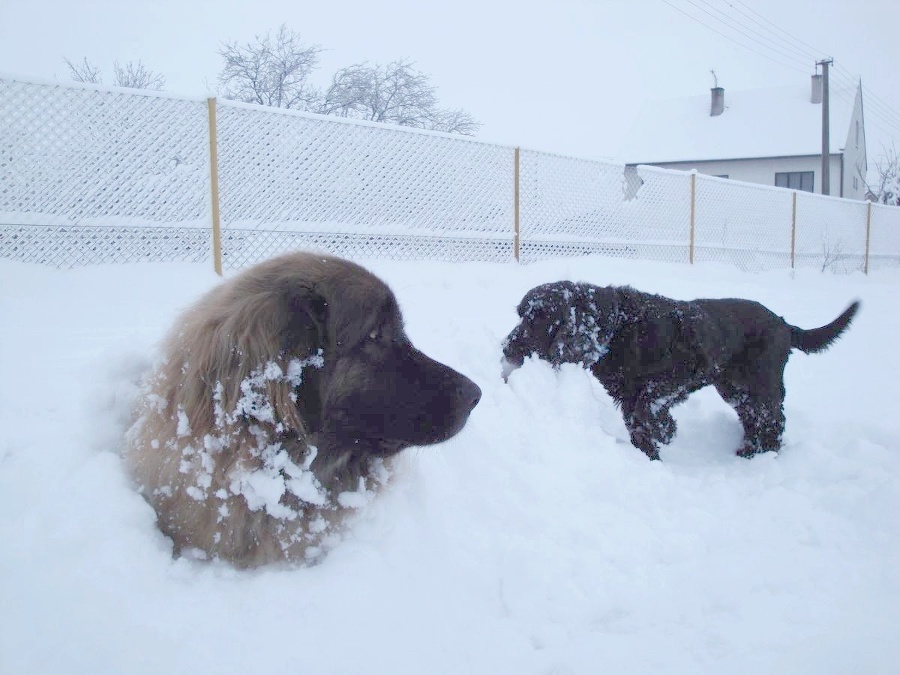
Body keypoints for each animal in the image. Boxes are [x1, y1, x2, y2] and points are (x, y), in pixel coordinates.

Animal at [500, 282, 856, 462]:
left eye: (537, 319)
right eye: (520, 314)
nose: (506, 348)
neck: (620, 327)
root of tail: (784, 323)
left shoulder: (684, 371)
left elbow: (649, 404)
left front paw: (666, 431)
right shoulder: (627, 398)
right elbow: (638, 425)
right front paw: (648, 457)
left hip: (759, 383)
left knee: (773, 419)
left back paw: (765, 456)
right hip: (734, 388)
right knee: (754, 418)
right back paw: (748, 451)